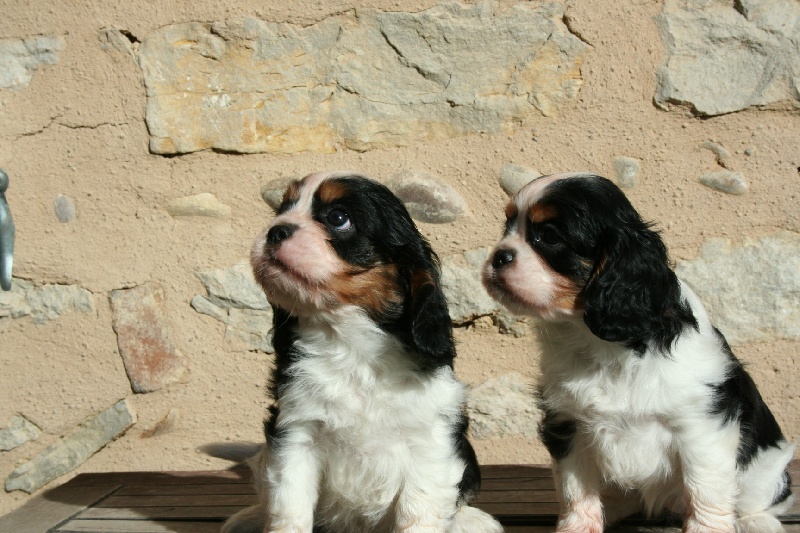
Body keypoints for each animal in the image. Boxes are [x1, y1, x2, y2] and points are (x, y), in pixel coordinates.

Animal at [222, 171, 504, 532]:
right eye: (282, 210)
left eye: (338, 218)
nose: (276, 230)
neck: (348, 343)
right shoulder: (295, 435)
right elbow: (289, 507)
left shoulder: (430, 444)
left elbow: (418, 512)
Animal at [482, 172, 792, 532]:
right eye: (507, 228)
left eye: (549, 237)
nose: (498, 256)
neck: (597, 341)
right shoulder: (568, 425)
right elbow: (576, 489)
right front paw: (577, 526)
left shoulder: (702, 428)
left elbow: (705, 488)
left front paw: (707, 528)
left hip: (763, 474)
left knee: (759, 503)